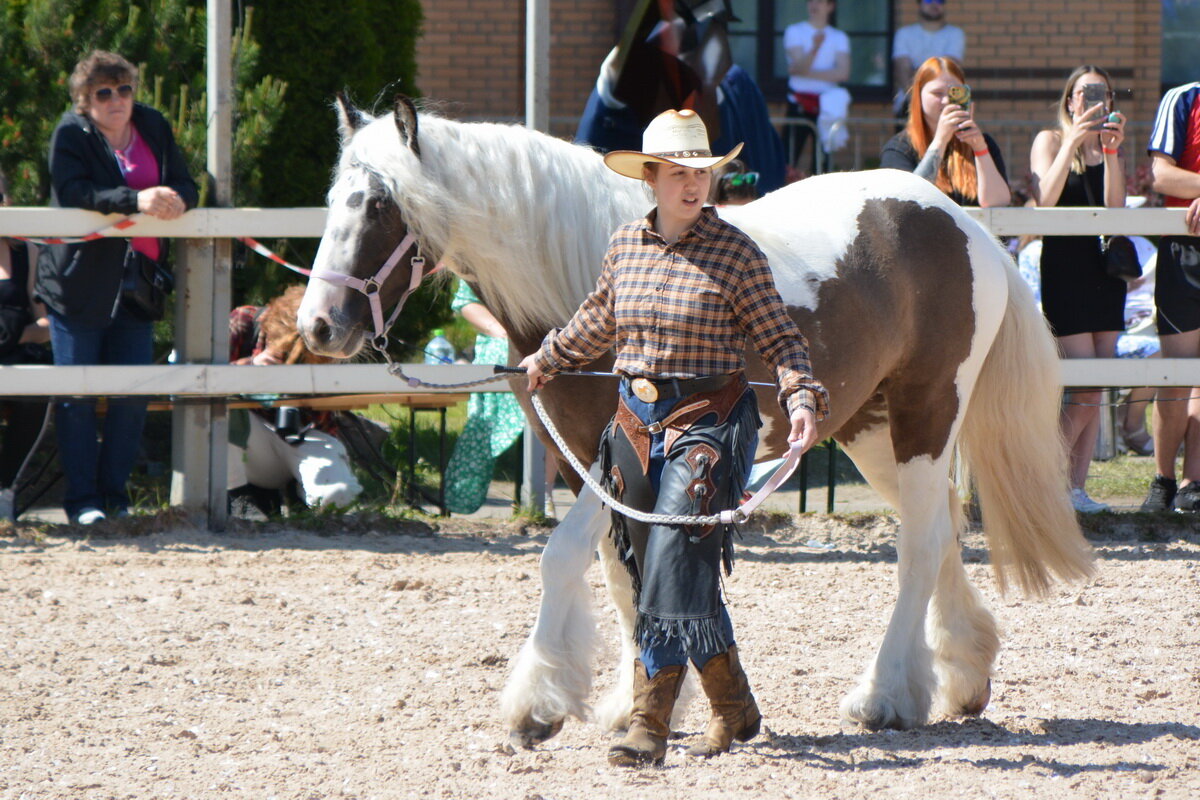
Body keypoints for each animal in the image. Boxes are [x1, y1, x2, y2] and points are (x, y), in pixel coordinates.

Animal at [295, 98, 1094, 743]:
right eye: (333, 200)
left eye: (379, 205)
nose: (319, 325)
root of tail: (957, 219)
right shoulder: (598, 460)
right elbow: (622, 574)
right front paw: (639, 701)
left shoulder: (610, 457)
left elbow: (562, 558)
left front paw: (538, 703)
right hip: (871, 430)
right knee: (944, 528)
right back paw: (961, 676)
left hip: (926, 412)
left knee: (922, 544)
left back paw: (886, 695)